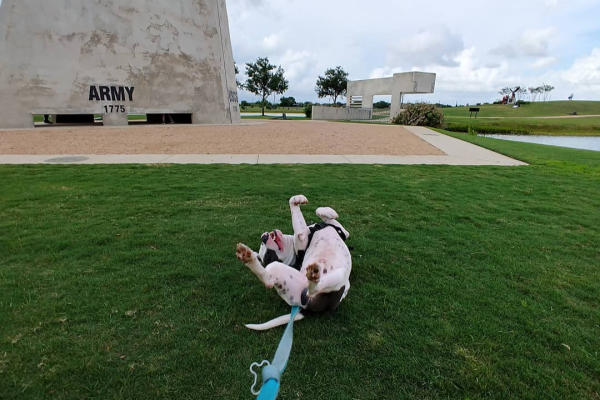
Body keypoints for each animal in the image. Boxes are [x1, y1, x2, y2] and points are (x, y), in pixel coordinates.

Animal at [236, 195, 352, 330]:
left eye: (262, 246)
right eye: (269, 255)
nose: (263, 238)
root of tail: (304, 308)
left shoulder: (343, 232)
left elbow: (319, 211)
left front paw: (326, 211)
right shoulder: (302, 240)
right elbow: (299, 232)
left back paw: (247, 256)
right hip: (336, 280)